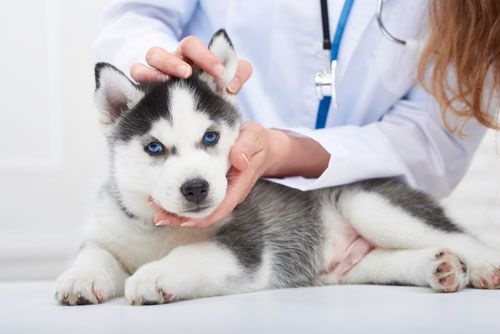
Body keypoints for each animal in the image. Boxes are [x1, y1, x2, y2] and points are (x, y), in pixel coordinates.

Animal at [56, 30, 500, 304]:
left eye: (211, 138)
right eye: (154, 147)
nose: (196, 188)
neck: (158, 230)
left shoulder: (247, 246)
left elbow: (192, 254)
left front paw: (153, 275)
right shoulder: (108, 232)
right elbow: (94, 255)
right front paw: (79, 278)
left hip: (368, 203)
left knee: (460, 237)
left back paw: (484, 266)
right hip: (353, 267)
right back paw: (440, 267)